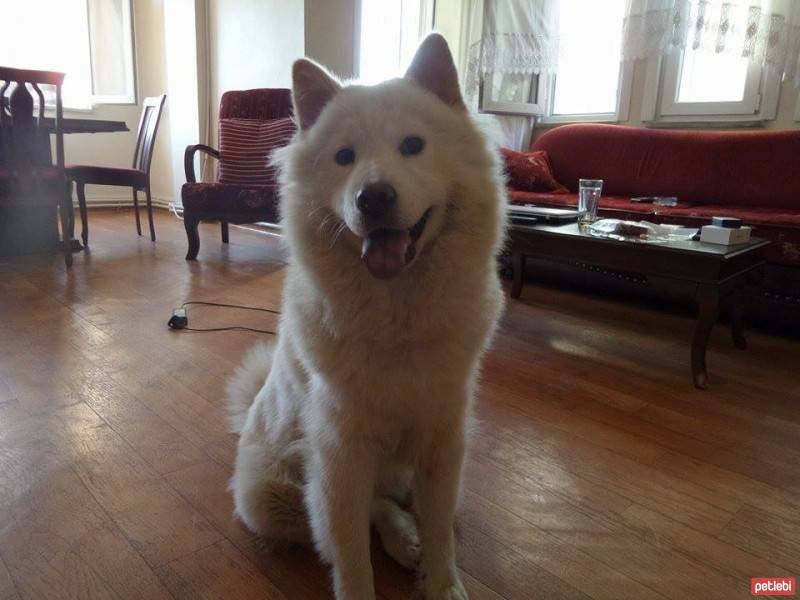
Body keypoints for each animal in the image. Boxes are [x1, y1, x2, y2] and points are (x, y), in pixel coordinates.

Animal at [227, 34, 506, 600]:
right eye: (344, 157)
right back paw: (400, 537)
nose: (372, 197)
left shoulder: (444, 440)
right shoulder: (342, 453)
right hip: (273, 496)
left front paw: (443, 584)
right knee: (347, 512)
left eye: (413, 145)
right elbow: (351, 552)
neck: (398, 312)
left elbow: (440, 530)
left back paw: (409, 538)